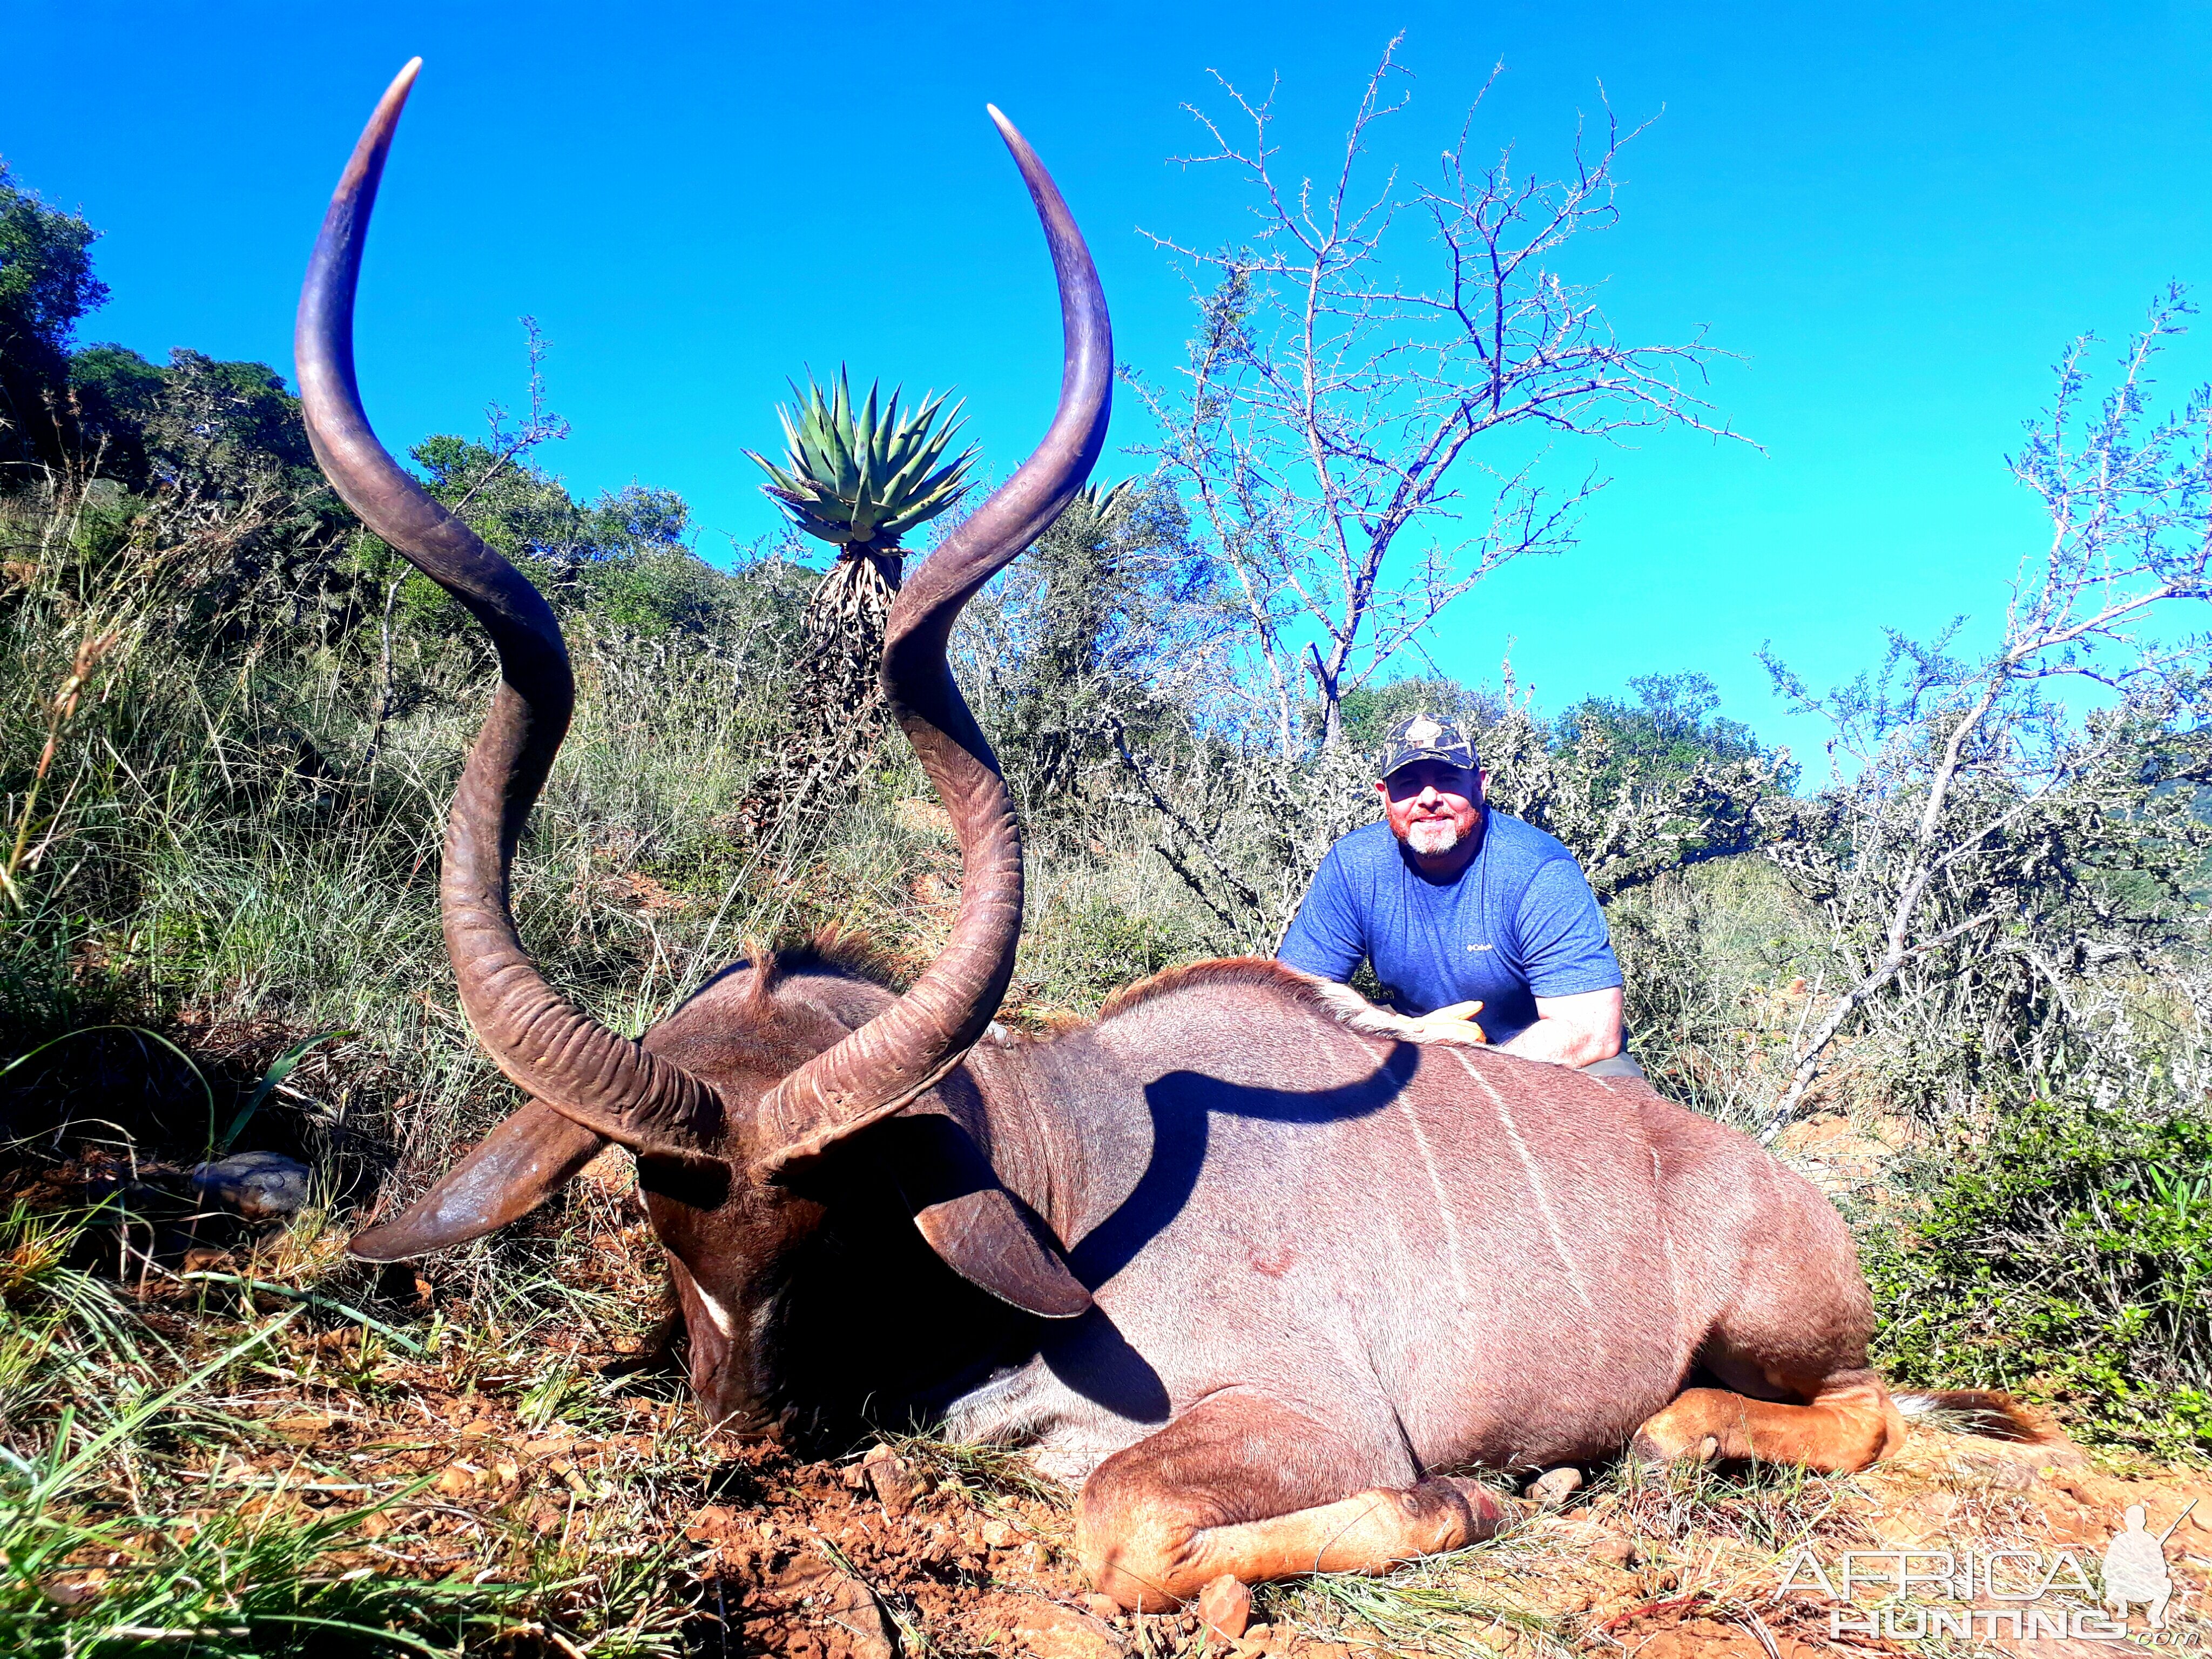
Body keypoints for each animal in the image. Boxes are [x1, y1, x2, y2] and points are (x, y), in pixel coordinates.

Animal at [298, 62, 2008, 1610]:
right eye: (655, 1205)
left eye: (836, 1213)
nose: (741, 1434)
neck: (1064, 1172)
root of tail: (1791, 1195)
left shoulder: (1309, 1418)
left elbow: (1129, 1526)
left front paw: (1469, 1499)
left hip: (1787, 1337)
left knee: (1844, 1414)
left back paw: (1634, 1444)